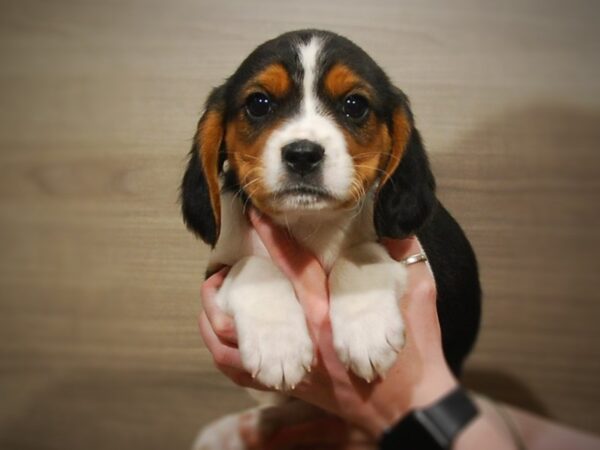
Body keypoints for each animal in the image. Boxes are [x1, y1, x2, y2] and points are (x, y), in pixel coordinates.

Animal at [180, 28, 480, 422]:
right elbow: (252, 266)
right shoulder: (217, 268)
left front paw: (367, 330)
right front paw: (278, 345)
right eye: (259, 103)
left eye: (354, 105)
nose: (303, 154)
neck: (312, 222)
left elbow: (360, 256)